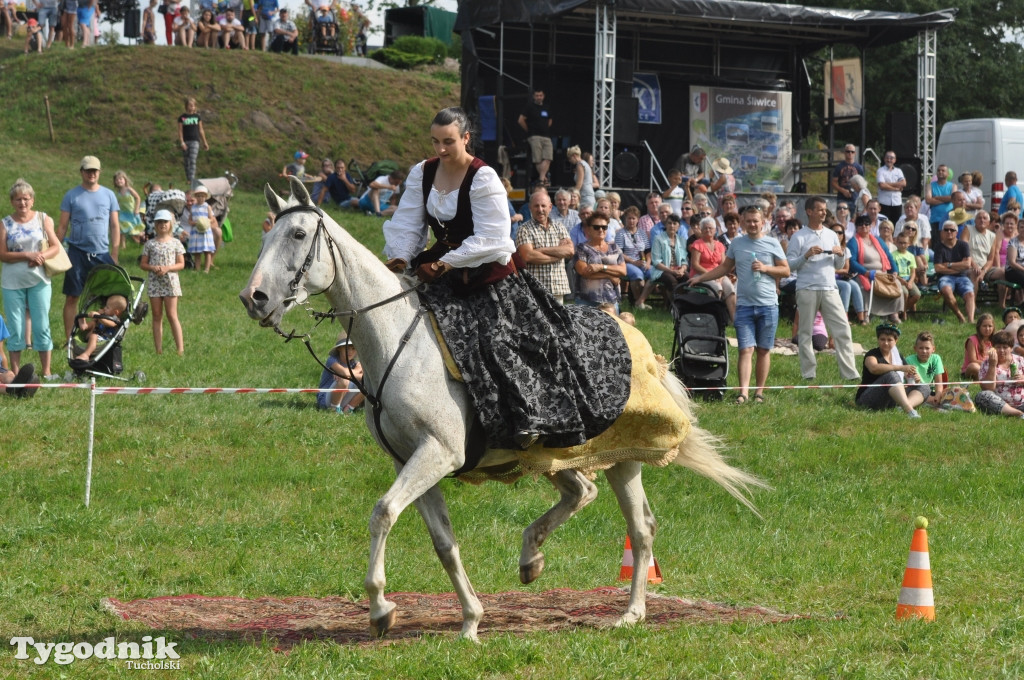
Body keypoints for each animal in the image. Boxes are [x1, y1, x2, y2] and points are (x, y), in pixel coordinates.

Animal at [239, 176, 765, 643]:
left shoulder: (437, 454)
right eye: (266, 234)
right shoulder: (412, 459)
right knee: (584, 491)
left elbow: (384, 512)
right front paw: (470, 620)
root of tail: (640, 344)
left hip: (625, 457)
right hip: (555, 453)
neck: (396, 341)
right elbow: (443, 542)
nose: (254, 298)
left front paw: (381, 609)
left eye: (298, 234)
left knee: (640, 527)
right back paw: (531, 558)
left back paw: (630, 613)